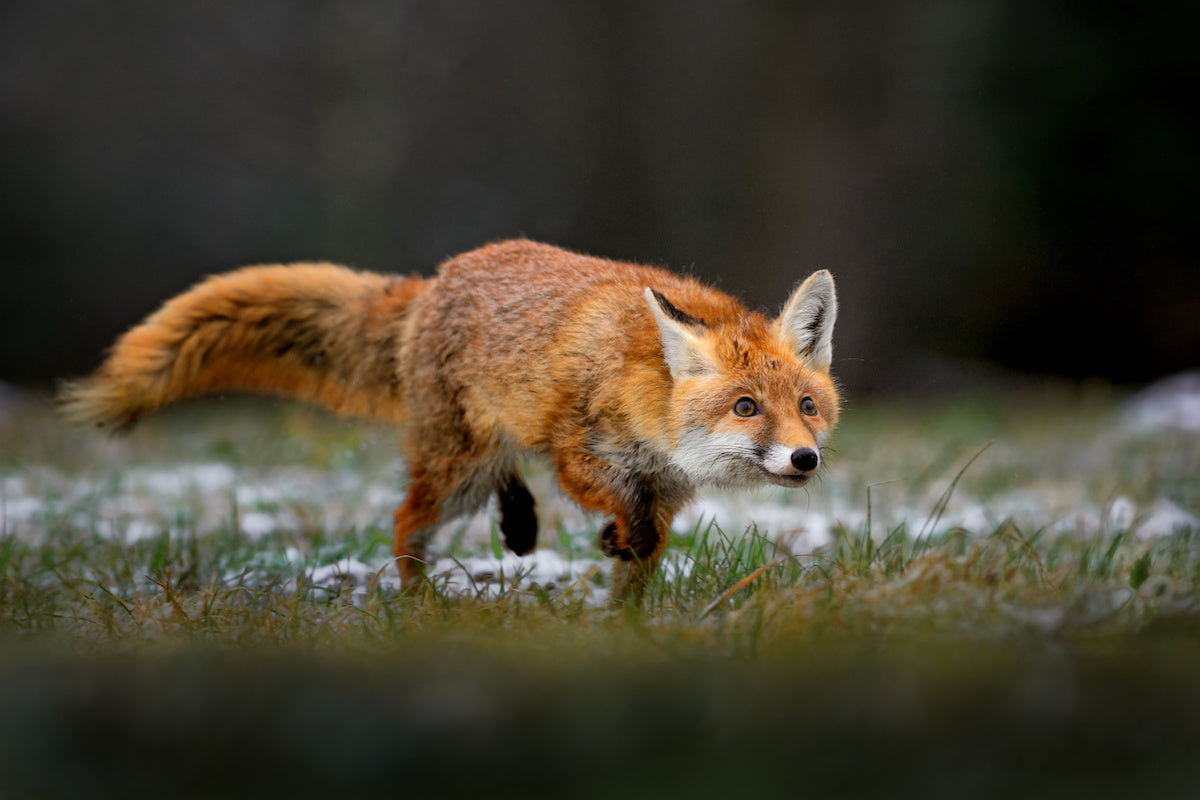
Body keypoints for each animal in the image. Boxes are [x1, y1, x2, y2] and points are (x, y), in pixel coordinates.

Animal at [60, 241, 840, 604]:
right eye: (745, 407)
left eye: (807, 407)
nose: (805, 460)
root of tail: (434, 281)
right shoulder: (582, 454)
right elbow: (626, 520)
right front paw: (612, 541)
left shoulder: (668, 492)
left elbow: (640, 564)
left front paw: (625, 624)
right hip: (456, 469)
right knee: (408, 520)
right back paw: (421, 606)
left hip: (475, 453)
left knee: (502, 478)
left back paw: (518, 525)